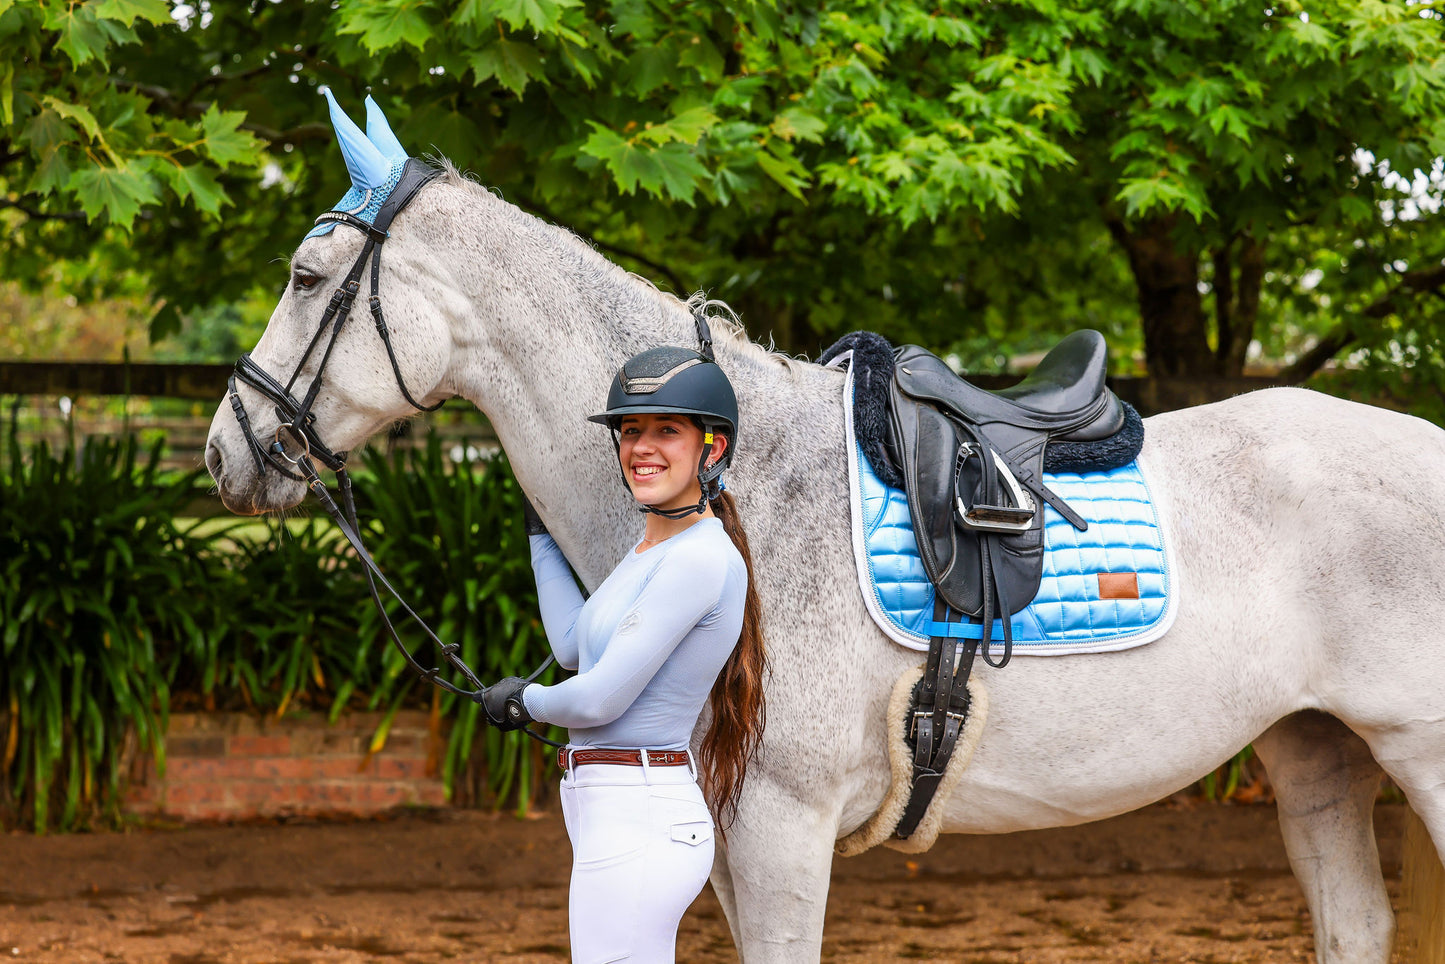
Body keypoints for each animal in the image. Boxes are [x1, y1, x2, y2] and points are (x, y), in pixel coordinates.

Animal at [203, 156, 1445, 959]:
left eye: (305, 279)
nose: (226, 450)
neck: (744, 487)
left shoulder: (780, 830)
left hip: (1415, 754)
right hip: (1312, 753)